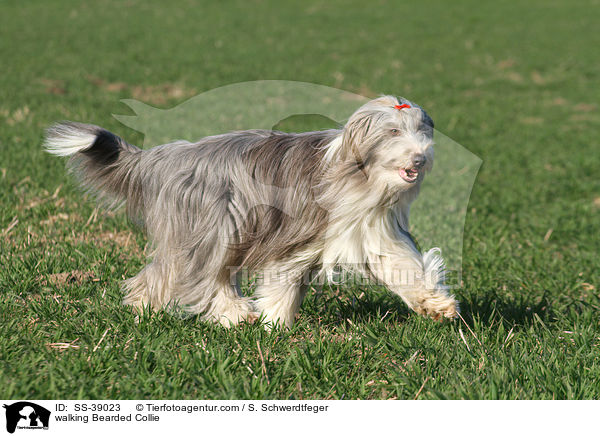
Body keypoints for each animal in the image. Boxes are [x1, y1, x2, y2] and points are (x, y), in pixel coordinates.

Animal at [44, 95, 460, 328]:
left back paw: (146, 308)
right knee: (199, 276)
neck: (358, 173)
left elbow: (402, 267)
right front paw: (273, 326)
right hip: (215, 225)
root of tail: (166, 156)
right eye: (393, 132)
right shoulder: (292, 237)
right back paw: (230, 314)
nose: (420, 158)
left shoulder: (374, 232)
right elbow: (281, 281)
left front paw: (436, 306)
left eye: (422, 132)